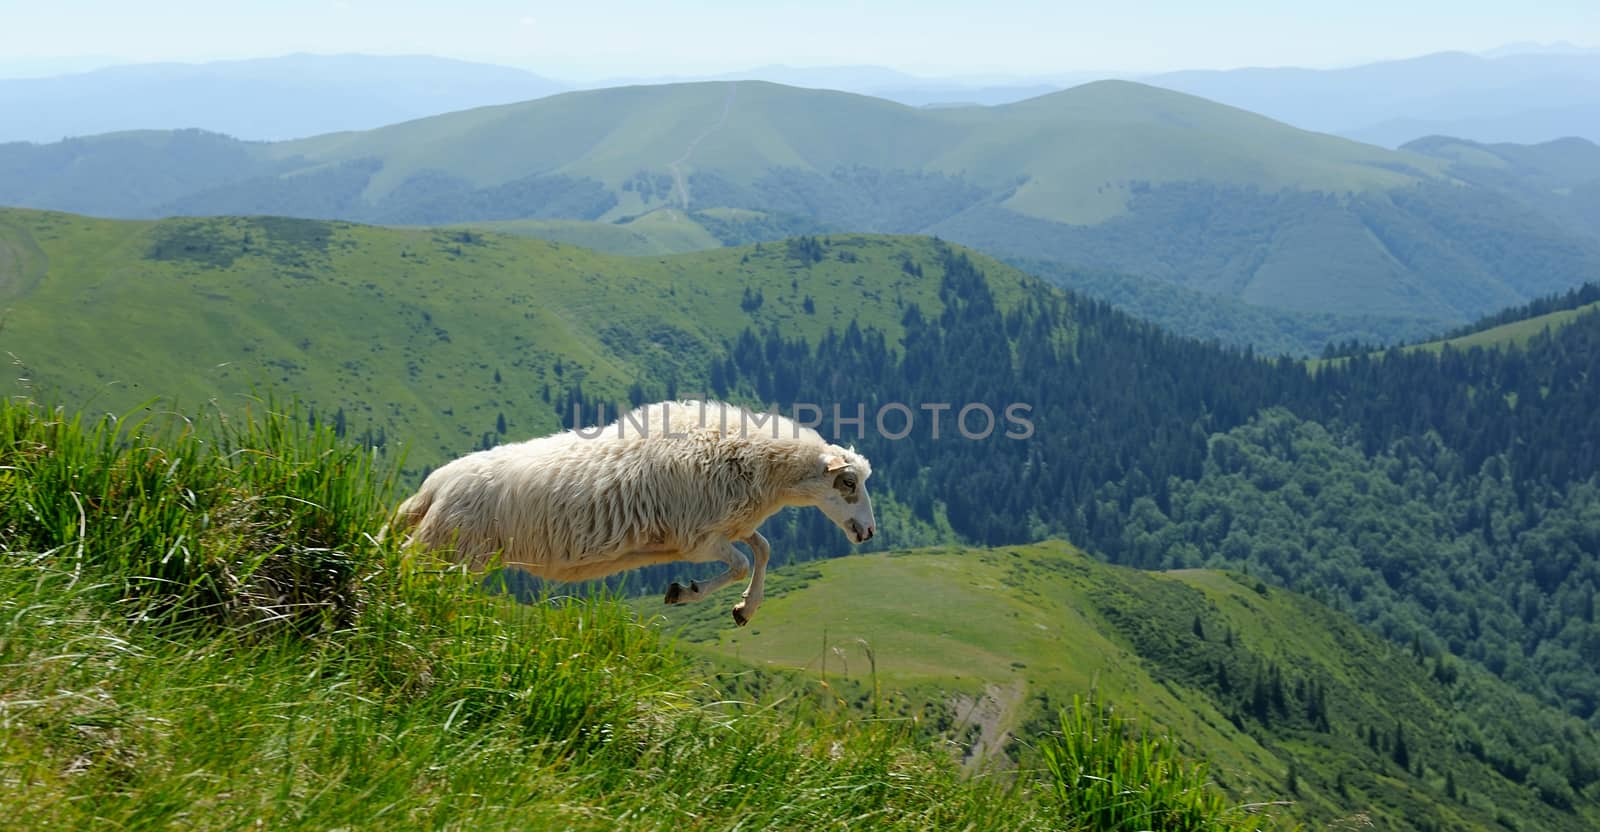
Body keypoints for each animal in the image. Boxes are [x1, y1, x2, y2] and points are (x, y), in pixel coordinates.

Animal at [395, 401, 883, 624]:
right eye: (848, 483)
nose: (869, 532)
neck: (757, 461)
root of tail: (434, 484)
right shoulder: (696, 538)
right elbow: (743, 563)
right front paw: (684, 591)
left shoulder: (731, 523)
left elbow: (763, 551)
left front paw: (745, 609)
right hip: (450, 547)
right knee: (406, 567)